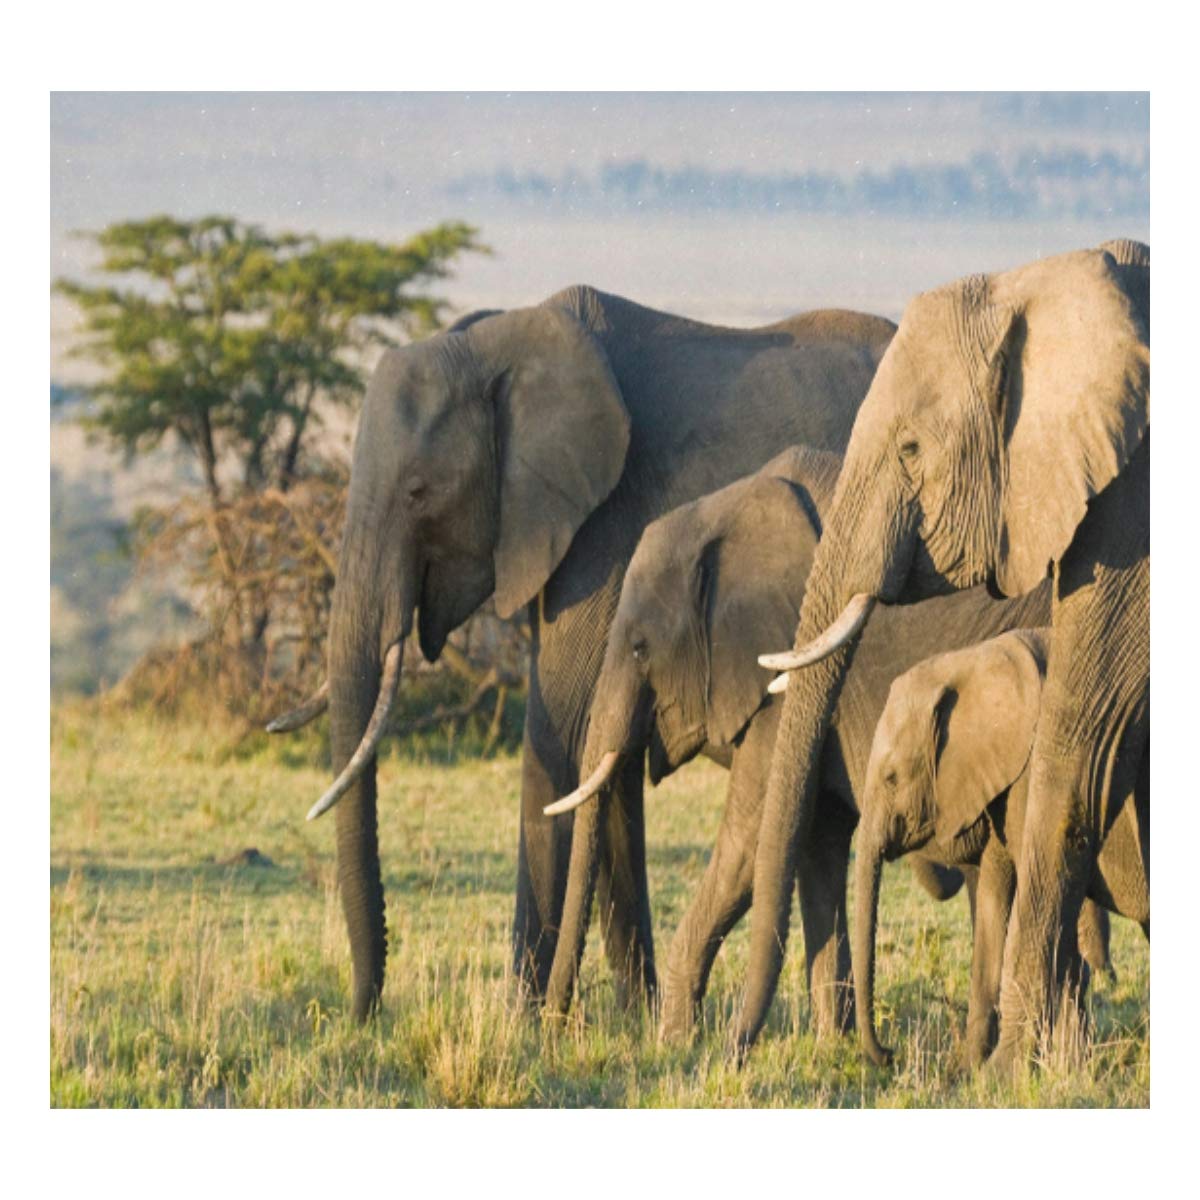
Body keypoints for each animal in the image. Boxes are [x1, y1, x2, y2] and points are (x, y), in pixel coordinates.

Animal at [268, 286, 897, 1020]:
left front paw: (521, 1023)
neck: (498, 343)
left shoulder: (604, 526)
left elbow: (563, 728)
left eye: (420, 492)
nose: (360, 1013)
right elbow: (606, 759)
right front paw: (632, 1018)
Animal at [542, 443, 1054, 1037]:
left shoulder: (781, 685)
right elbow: (816, 843)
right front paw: (833, 1044)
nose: (555, 1023)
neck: (723, 509)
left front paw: (676, 1042)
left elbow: (751, 846)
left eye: (640, 649)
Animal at [853, 629, 1147, 1069]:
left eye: (891, 778)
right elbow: (994, 898)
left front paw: (1063, 1066)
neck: (970, 661)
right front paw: (969, 1067)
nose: (889, 1054)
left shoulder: (1033, 773)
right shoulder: (1001, 782)